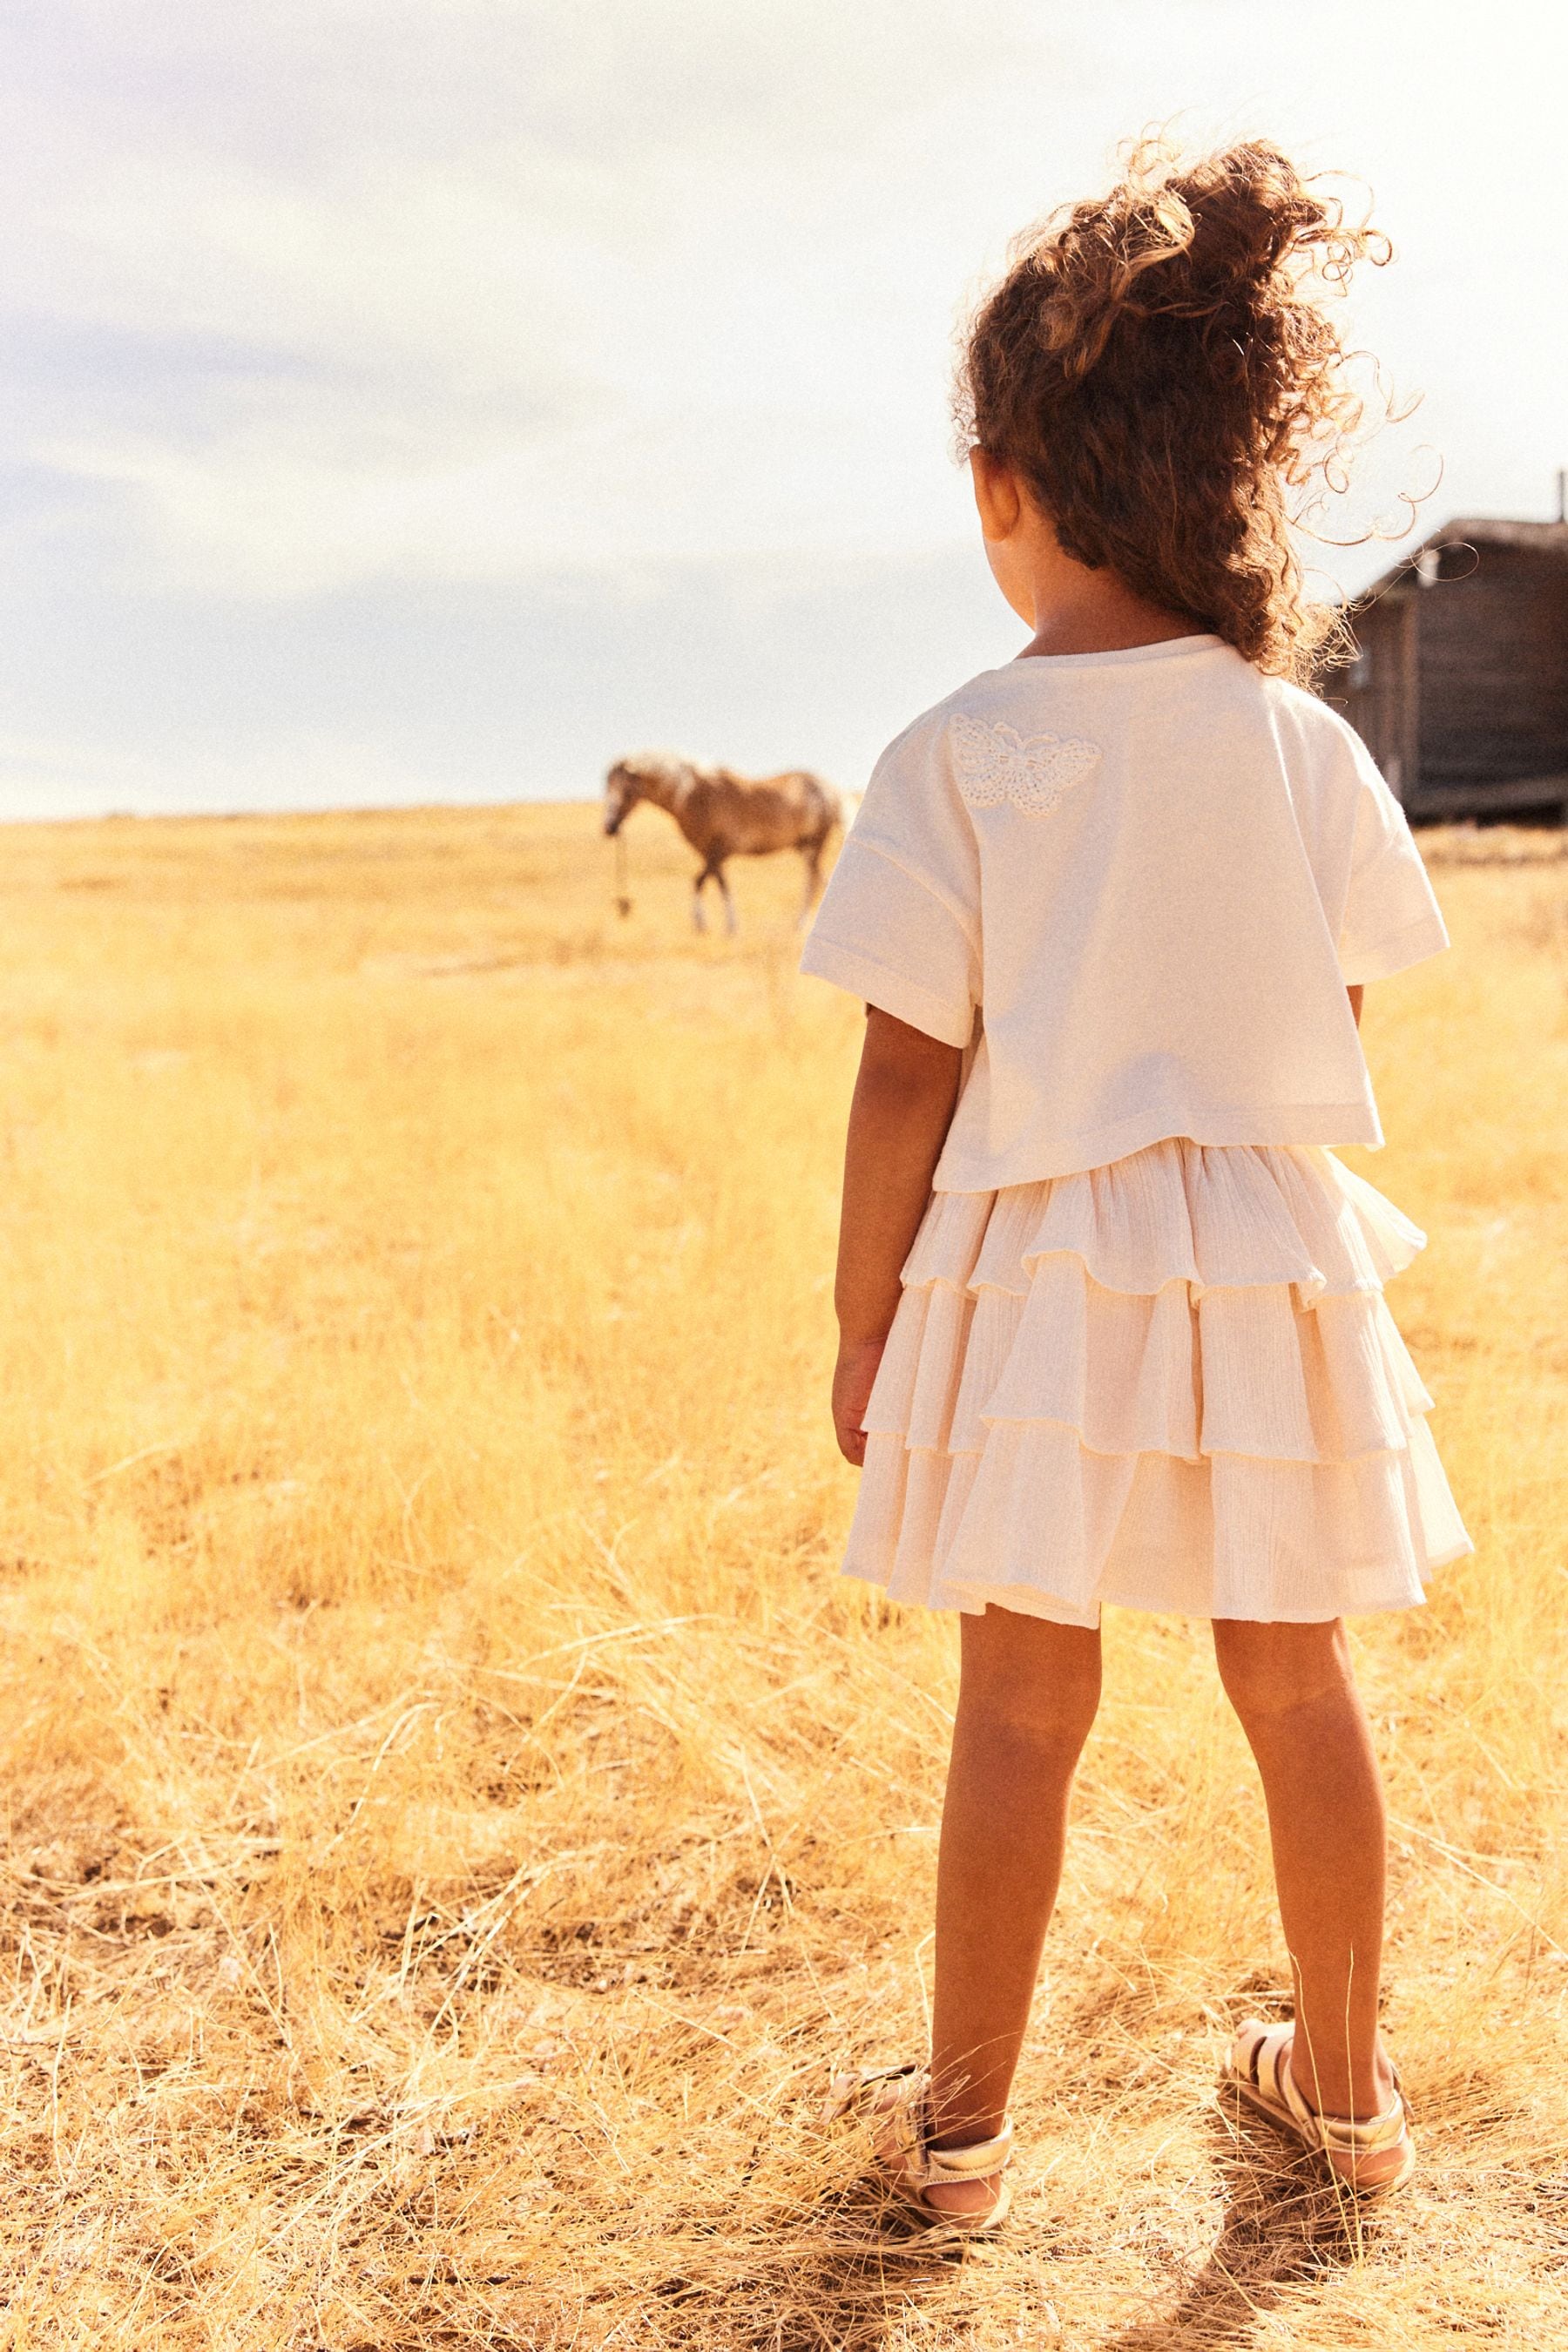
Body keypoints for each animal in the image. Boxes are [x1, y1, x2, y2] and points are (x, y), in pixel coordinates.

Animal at [606, 753, 846, 936]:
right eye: (607, 789)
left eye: (626, 791)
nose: (609, 827)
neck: (695, 797)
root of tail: (828, 788)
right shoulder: (709, 853)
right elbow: (716, 882)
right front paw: (722, 925)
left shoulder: (720, 850)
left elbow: (703, 882)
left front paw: (710, 925)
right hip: (804, 846)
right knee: (817, 878)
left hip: (815, 843)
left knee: (813, 879)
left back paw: (803, 923)